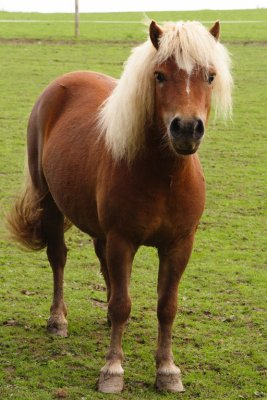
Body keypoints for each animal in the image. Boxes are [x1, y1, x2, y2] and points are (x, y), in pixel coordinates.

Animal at [7, 20, 233, 392]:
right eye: (159, 75)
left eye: (210, 76)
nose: (186, 128)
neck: (163, 176)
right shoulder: (122, 240)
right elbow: (122, 305)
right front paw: (112, 370)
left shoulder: (179, 245)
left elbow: (166, 306)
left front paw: (167, 370)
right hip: (50, 204)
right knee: (58, 258)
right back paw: (58, 320)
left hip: (100, 230)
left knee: (103, 267)